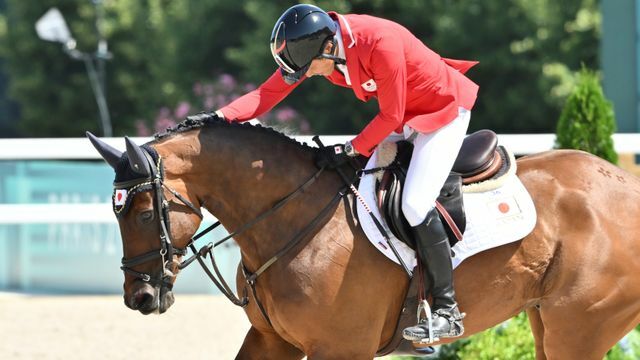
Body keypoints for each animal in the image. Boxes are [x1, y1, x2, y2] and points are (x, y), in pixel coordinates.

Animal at [87, 116, 640, 360]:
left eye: (141, 211)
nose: (139, 296)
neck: (289, 218)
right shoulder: (271, 339)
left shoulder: (341, 347)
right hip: (548, 322)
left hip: (579, 327)